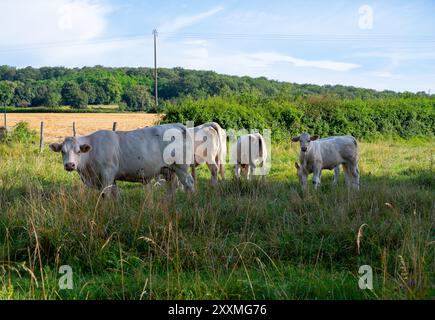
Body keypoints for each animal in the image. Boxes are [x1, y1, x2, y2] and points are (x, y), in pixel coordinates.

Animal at [49, 123, 196, 196]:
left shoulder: (107, 174)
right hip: (169, 170)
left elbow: (105, 195)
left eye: (78, 151)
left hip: (181, 167)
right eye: (62, 151)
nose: (70, 165)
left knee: (189, 184)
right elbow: (116, 195)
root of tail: (179, 125)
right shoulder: (112, 178)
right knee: (172, 188)